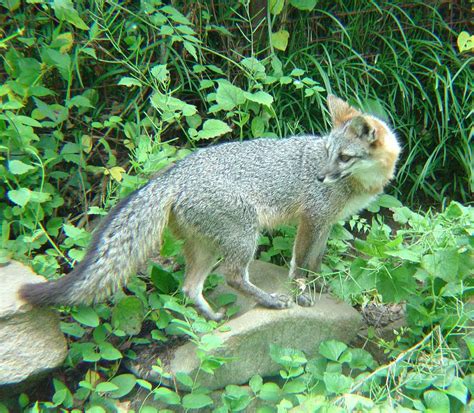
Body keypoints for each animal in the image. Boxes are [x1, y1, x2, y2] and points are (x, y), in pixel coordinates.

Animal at [18, 95, 400, 320]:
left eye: (344, 157)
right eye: (327, 153)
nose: (321, 177)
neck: (360, 186)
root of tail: (174, 172)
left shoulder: (327, 223)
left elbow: (315, 263)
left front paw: (320, 286)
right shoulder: (313, 219)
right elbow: (299, 266)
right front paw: (301, 293)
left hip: (205, 246)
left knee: (189, 287)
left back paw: (212, 317)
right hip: (244, 236)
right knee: (232, 276)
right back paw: (268, 301)